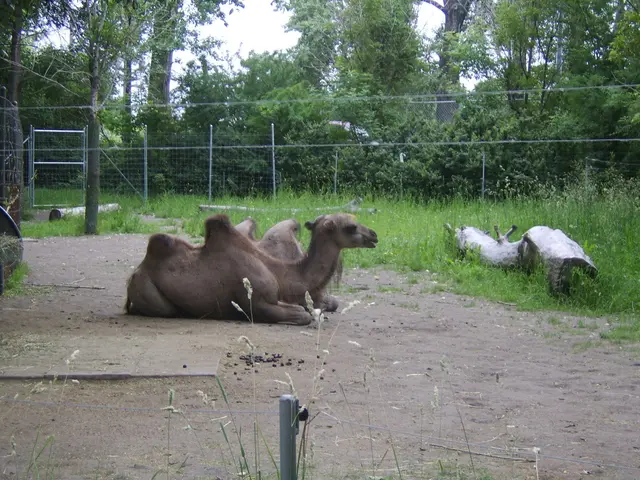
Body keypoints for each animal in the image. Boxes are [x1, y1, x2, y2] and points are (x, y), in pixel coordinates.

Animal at [125, 213, 377, 325]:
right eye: (351, 227)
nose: (374, 235)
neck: (283, 274)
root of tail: (136, 273)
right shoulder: (256, 304)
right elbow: (303, 314)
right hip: (149, 293)